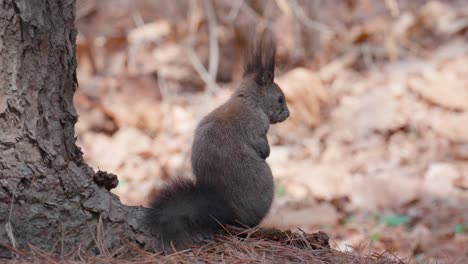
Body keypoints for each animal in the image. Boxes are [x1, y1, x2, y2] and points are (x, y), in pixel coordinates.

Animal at [144, 29, 288, 251]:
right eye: (280, 98)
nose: (288, 114)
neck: (249, 100)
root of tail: (224, 213)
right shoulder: (256, 126)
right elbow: (260, 143)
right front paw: (267, 152)